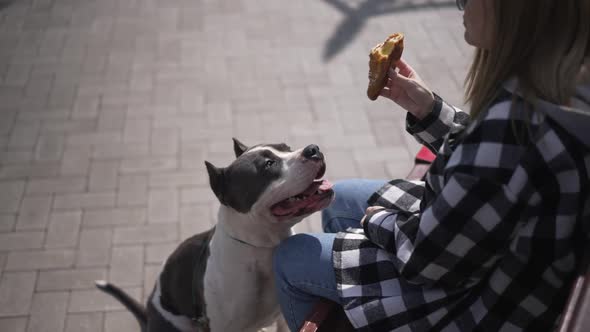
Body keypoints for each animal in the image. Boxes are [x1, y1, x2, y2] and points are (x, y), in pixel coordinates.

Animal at [97, 139, 338, 330]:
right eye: (269, 164)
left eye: (286, 147)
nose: (313, 149)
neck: (261, 249)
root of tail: (149, 315)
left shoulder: (283, 318)